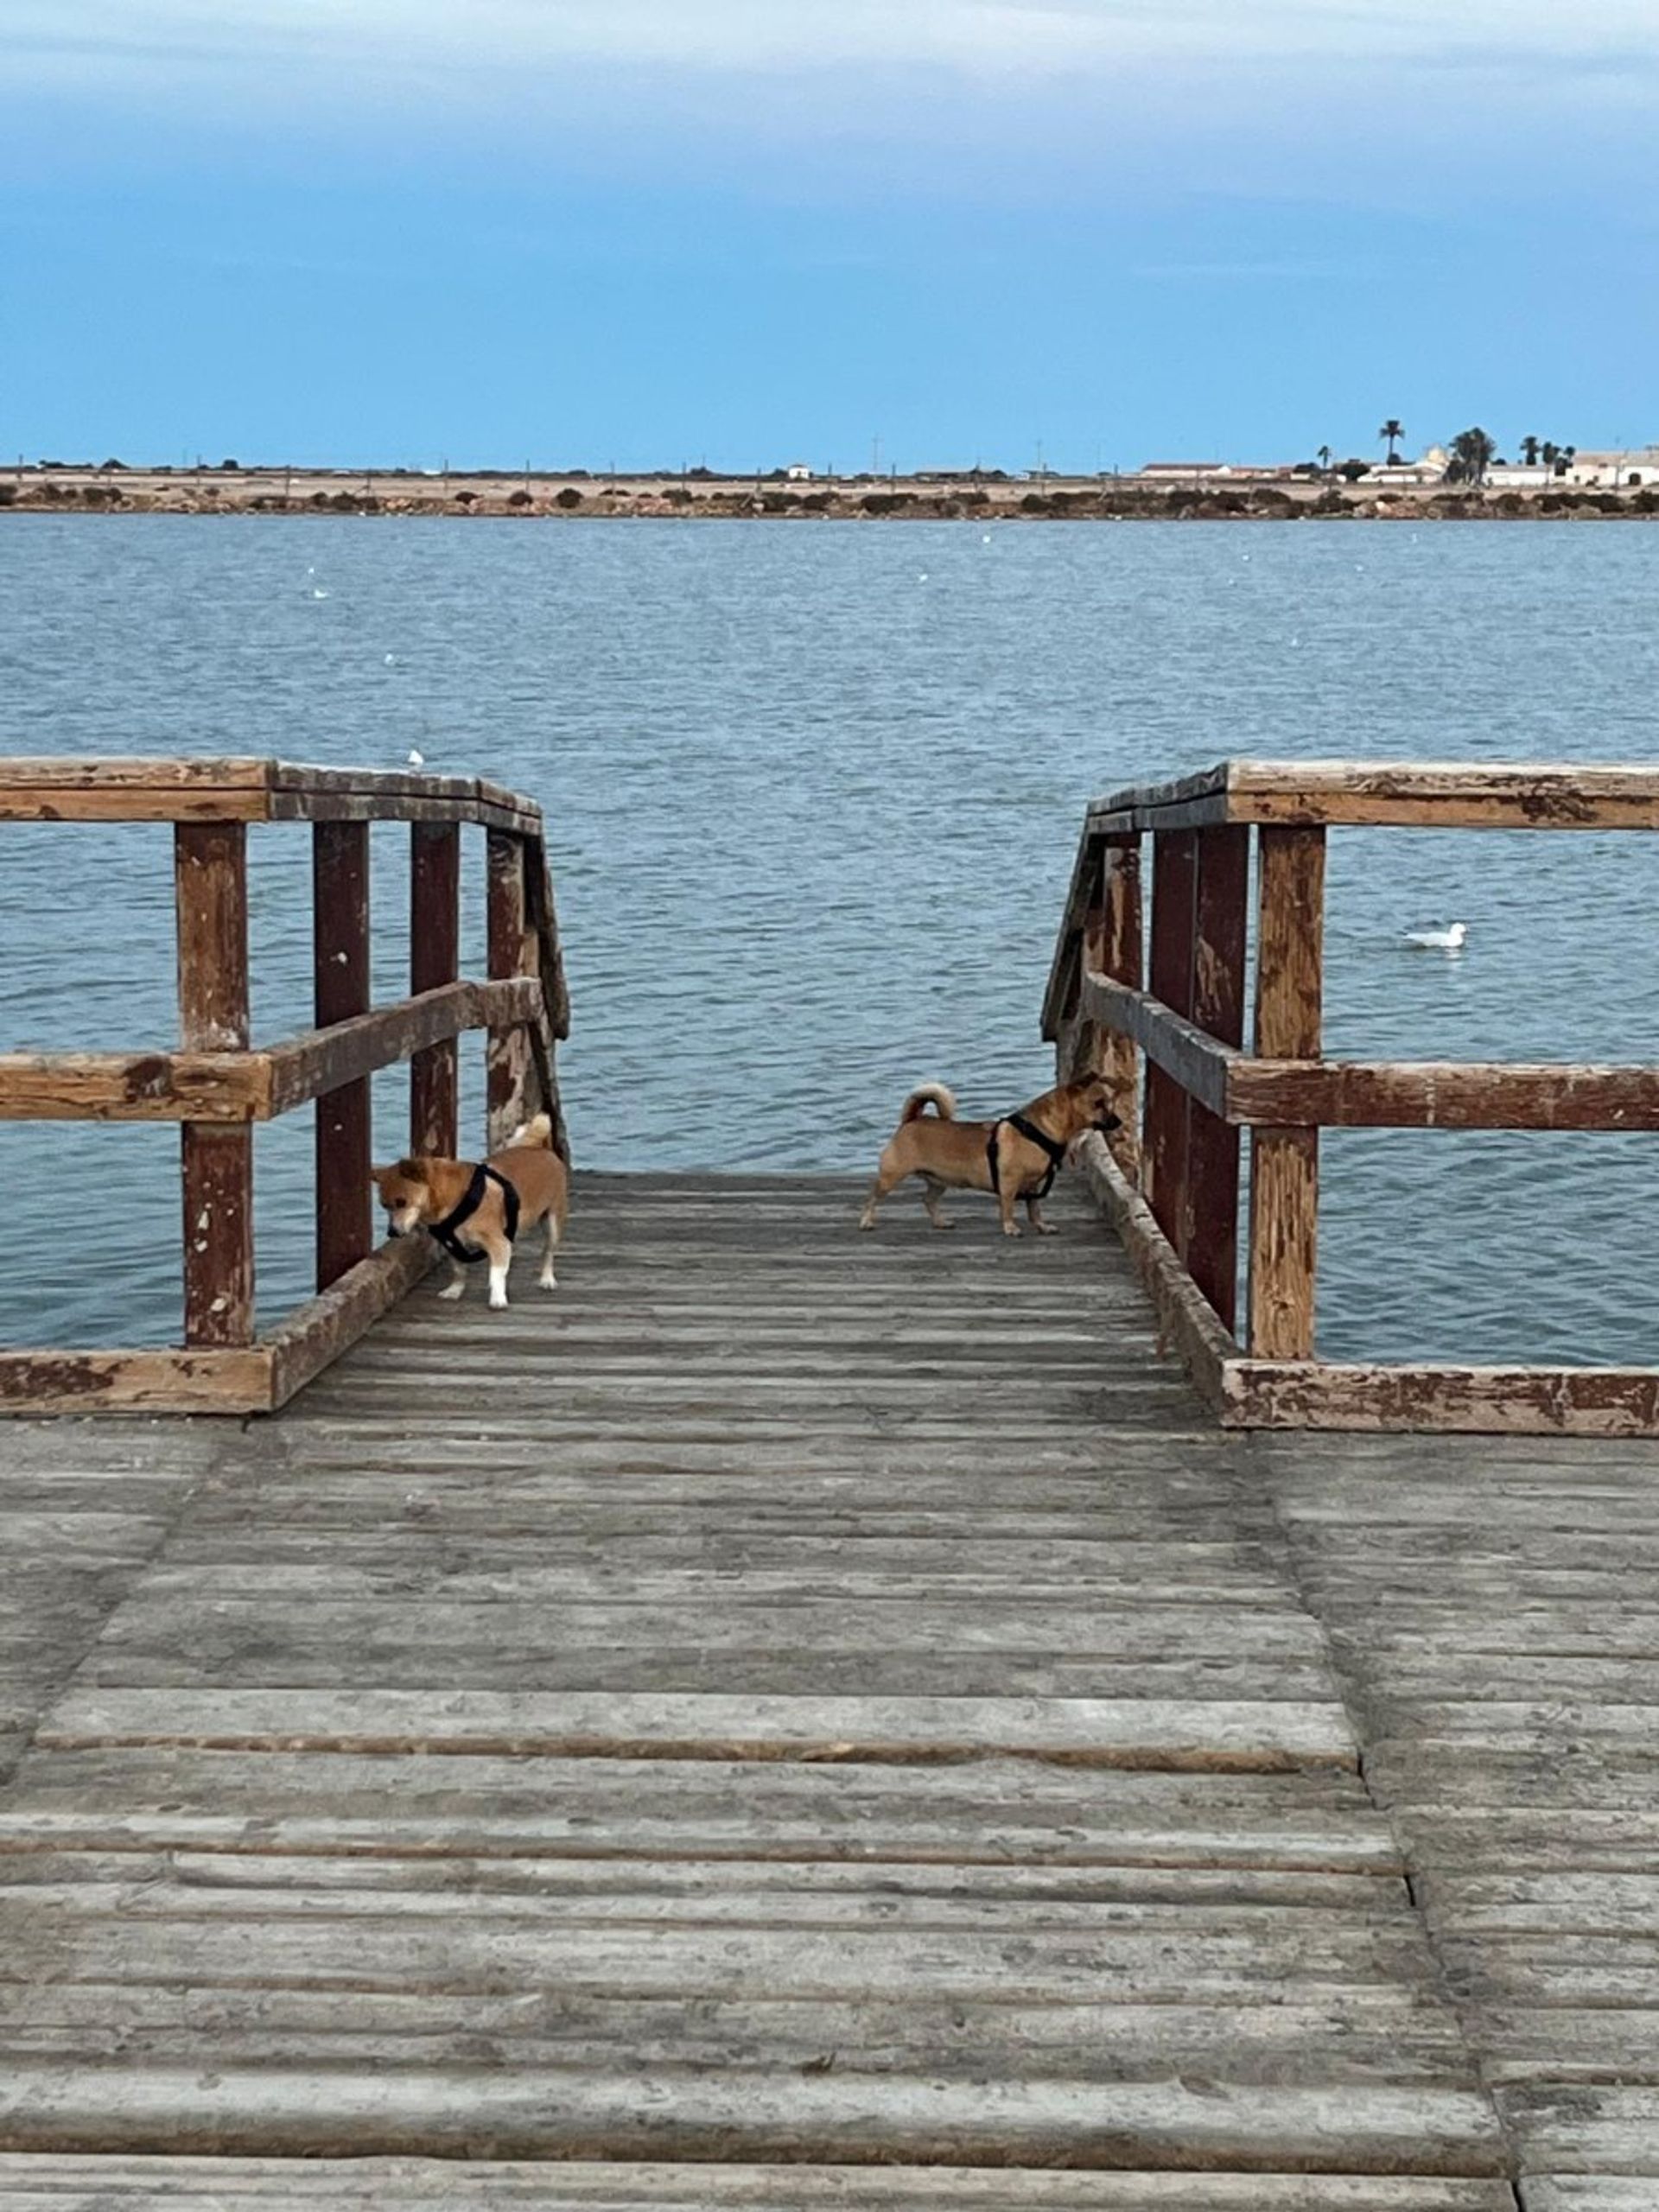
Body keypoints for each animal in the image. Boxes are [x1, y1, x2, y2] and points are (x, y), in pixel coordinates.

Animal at [373, 1115, 570, 1300]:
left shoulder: (497, 1242)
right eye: (384, 1206)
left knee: (548, 1253)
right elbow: (459, 1270)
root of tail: (541, 1148)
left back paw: (546, 1279)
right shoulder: (453, 1247)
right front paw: (455, 1290)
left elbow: (496, 1274)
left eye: (402, 1202)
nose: (391, 1232)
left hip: (553, 1223)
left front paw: (497, 1298)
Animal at [862, 1075, 1123, 1238]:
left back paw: (940, 1222)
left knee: (928, 1200)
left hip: (939, 1181)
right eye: (1099, 1103)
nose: (1118, 1122)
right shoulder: (1009, 1182)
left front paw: (1042, 1226)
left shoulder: (1034, 1185)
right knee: (872, 1198)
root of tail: (911, 1120)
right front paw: (1010, 1228)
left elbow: (1035, 1209)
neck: (1039, 1131)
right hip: (891, 1176)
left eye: (1110, 1102)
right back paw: (866, 1221)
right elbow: (1007, 1208)